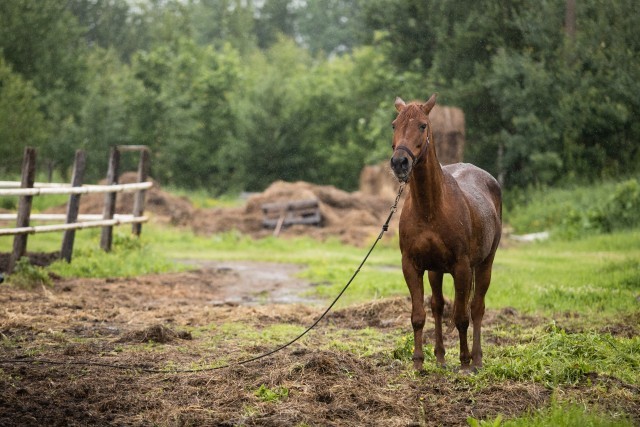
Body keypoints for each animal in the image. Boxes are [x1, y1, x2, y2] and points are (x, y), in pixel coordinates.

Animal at [388, 93, 502, 372]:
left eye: (422, 125)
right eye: (394, 124)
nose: (399, 162)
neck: (431, 208)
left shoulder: (461, 267)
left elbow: (461, 317)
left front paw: (464, 362)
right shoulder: (412, 266)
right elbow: (419, 315)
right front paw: (418, 362)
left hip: (485, 263)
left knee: (477, 307)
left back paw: (477, 359)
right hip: (436, 271)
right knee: (438, 306)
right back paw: (439, 358)